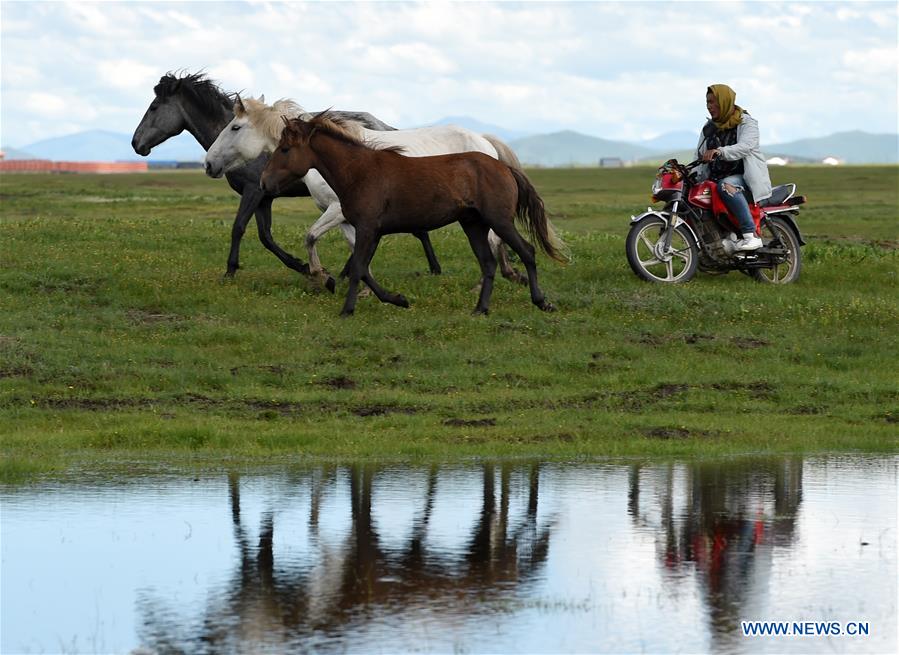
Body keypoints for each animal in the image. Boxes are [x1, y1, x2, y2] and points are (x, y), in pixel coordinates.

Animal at [206, 96, 528, 288]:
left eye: (235, 127)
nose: (209, 163)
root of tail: (483, 141)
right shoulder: (345, 216)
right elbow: (354, 249)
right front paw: (363, 288)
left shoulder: (337, 210)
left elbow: (311, 237)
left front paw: (321, 276)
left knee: (493, 240)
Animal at [258, 113, 564, 318]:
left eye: (285, 149)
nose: (264, 182)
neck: (360, 172)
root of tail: (502, 167)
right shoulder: (368, 230)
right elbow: (362, 268)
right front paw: (397, 299)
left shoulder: (367, 228)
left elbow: (357, 268)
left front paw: (347, 309)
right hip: (472, 224)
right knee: (488, 263)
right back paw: (480, 309)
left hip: (498, 221)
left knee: (526, 251)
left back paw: (541, 302)